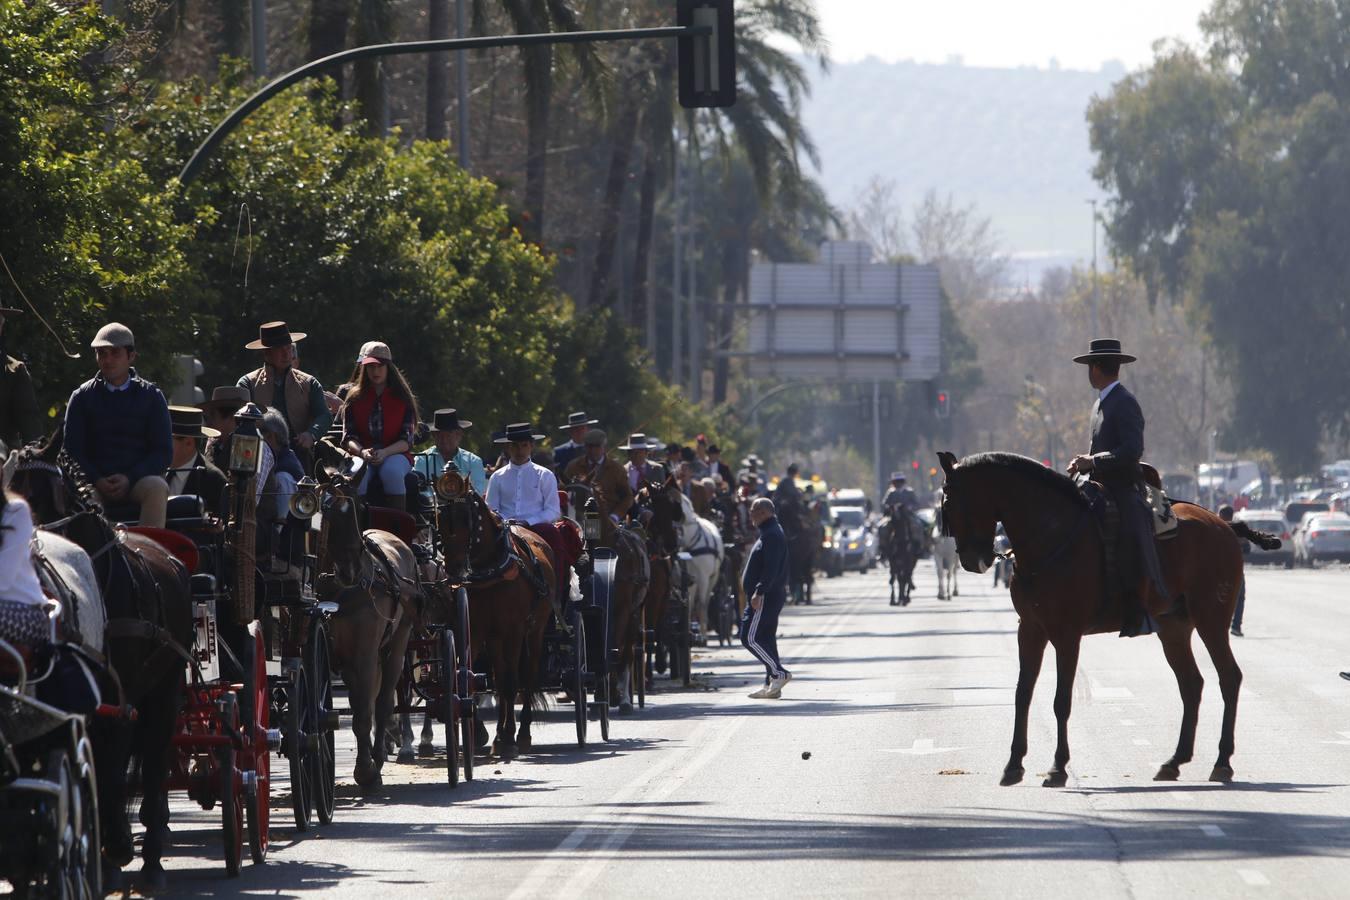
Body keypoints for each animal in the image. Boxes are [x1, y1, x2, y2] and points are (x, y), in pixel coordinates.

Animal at [311, 447, 413, 788]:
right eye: (326, 510)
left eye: (358, 506)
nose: (350, 569)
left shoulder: (364, 653)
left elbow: (364, 712)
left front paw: (366, 769)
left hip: (398, 642)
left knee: (382, 702)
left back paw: (380, 754)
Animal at [437, 474, 553, 755]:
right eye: (439, 518)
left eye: (466, 518)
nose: (453, 570)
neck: (490, 568)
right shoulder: (477, 629)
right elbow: (468, 675)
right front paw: (482, 731)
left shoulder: (514, 630)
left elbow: (512, 683)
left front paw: (510, 736)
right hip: (495, 638)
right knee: (500, 677)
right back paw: (500, 733)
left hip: (534, 631)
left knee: (526, 677)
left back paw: (521, 733)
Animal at [672, 493, 723, 639]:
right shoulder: (689, 577)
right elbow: (689, 601)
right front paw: (688, 630)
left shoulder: (704, 577)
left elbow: (701, 604)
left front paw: (702, 636)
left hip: (713, 578)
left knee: (704, 603)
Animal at [939, 453, 1274, 782]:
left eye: (949, 502)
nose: (972, 560)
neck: (1051, 533)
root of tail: (1224, 525)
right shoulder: (1030, 629)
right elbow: (1023, 693)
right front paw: (1013, 764)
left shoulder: (1067, 634)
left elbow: (1062, 699)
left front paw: (1058, 766)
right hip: (1174, 627)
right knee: (1191, 683)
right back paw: (1175, 761)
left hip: (1211, 620)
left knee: (1229, 677)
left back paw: (1222, 761)